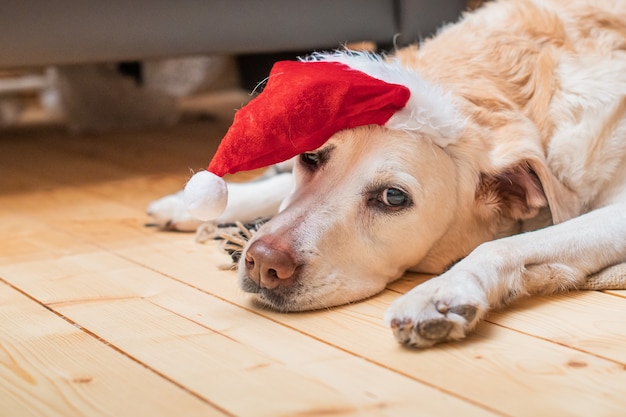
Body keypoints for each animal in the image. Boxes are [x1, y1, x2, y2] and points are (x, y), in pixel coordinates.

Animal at [150, 0, 624, 346]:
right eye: (311, 158)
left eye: (393, 198)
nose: (263, 262)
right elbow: (277, 185)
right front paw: (190, 205)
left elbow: (502, 246)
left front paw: (441, 294)